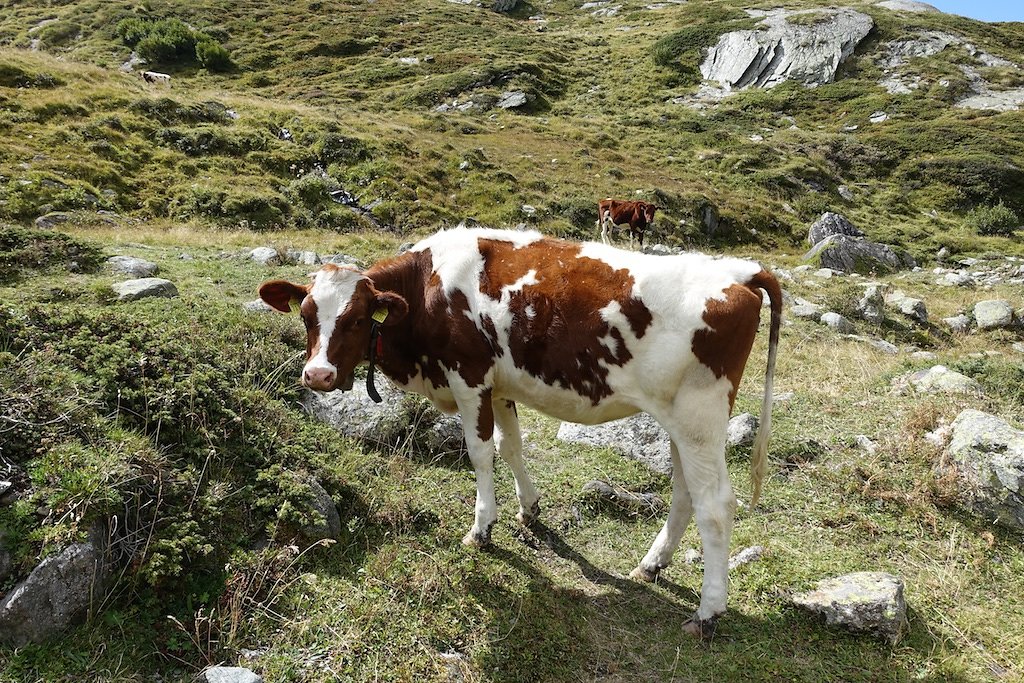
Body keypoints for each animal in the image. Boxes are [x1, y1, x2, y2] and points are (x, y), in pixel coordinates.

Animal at [260, 225, 778, 634]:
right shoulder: (499, 385)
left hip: (699, 417)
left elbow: (481, 452)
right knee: (686, 492)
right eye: (306, 315)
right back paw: (652, 565)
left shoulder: (469, 377)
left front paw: (481, 529)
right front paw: (529, 509)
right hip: (679, 422)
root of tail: (739, 273)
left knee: (716, 506)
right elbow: (511, 446)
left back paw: (708, 612)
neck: (428, 288)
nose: (318, 376)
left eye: (356, 318)